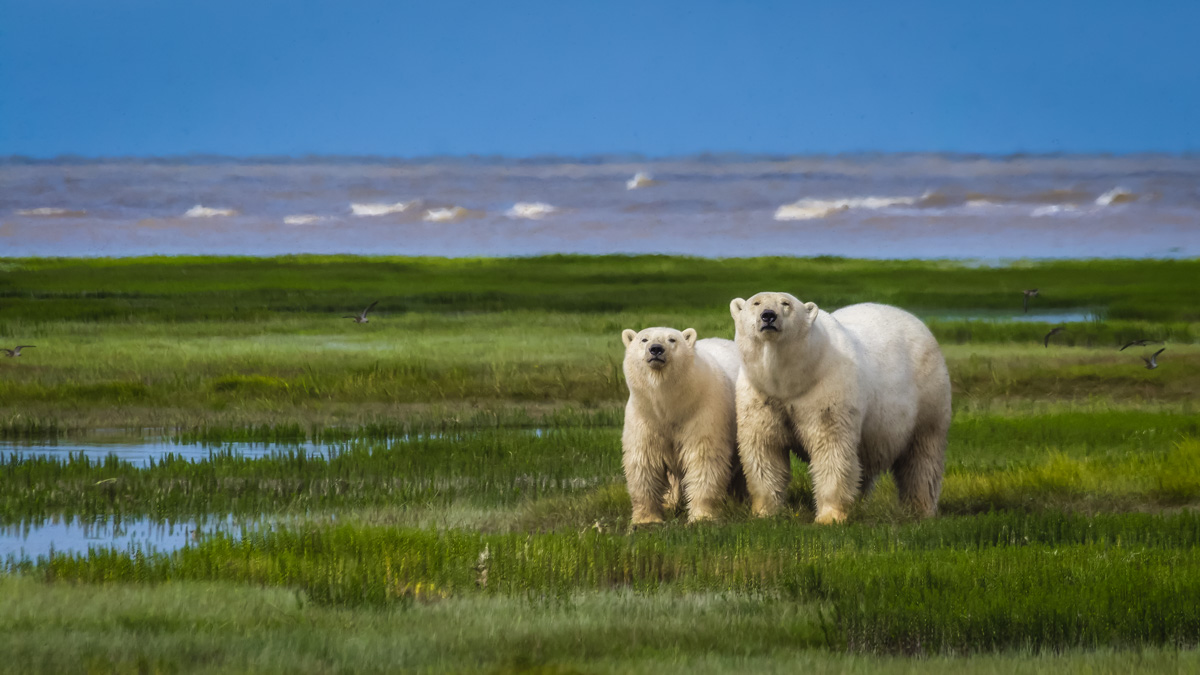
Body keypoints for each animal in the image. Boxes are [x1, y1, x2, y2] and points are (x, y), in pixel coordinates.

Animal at [624, 324, 744, 521]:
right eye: (644, 339)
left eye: (672, 339)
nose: (656, 349)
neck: (670, 406)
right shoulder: (645, 418)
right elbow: (644, 462)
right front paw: (646, 519)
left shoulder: (702, 412)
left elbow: (704, 458)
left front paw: (702, 516)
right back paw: (670, 502)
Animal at [724, 291, 950, 523]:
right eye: (756, 302)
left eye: (785, 303)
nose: (768, 316)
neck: (793, 380)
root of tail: (918, 322)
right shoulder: (760, 395)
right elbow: (764, 448)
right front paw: (764, 512)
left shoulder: (827, 390)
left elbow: (831, 448)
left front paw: (829, 517)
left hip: (928, 396)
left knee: (922, 456)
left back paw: (920, 508)